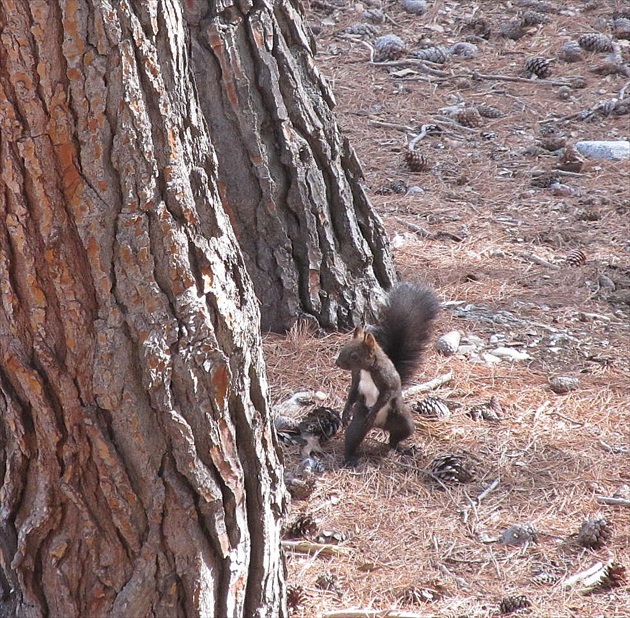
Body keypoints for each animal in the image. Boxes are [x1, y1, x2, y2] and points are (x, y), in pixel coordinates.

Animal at [336, 282, 440, 464]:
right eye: (343, 348)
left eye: (354, 355)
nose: (338, 363)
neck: (368, 369)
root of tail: (379, 425)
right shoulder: (356, 376)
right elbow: (352, 392)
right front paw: (346, 412)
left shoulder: (387, 380)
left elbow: (386, 393)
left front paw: (373, 411)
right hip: (359, 425)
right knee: (352, 437)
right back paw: (349, 458)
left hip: (402, 420)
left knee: (395, 438)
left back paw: (402, 448)